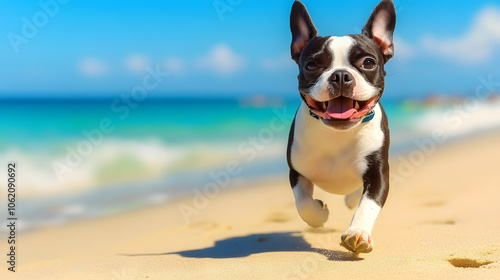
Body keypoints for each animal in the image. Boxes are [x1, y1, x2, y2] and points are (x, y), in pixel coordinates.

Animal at [288, 0, 396, 254]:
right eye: (312, 65)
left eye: (368, 63)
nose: (340, 76)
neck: (338, 133)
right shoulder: (296, 170)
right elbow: (303, 202)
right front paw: (319, 213)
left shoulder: (379, 174)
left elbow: (368, 204)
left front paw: (358, 233)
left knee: (357, 195)